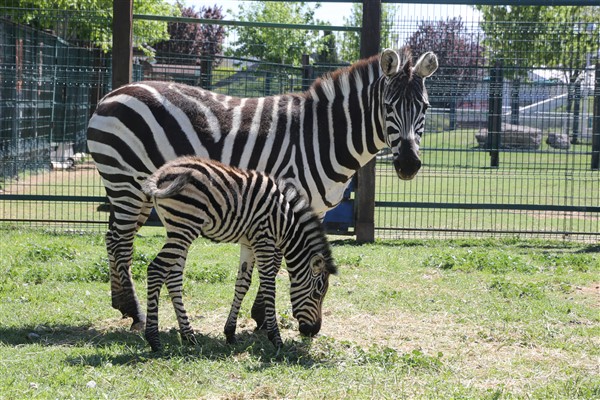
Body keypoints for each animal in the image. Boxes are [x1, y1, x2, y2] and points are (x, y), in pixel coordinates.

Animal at [141, 155, 338, 350]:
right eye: (317, 294)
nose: (313, 331)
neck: (286, 223)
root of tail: (162, 172)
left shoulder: (248, 244)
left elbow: (243, 284)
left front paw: (230, 333)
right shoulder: (264, 240)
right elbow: (269, 285)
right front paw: (276, 338)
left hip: (177, 229)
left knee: (173, 277)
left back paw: (189, 336)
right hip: (185, 225)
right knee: (156, 270)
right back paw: (154, 339)